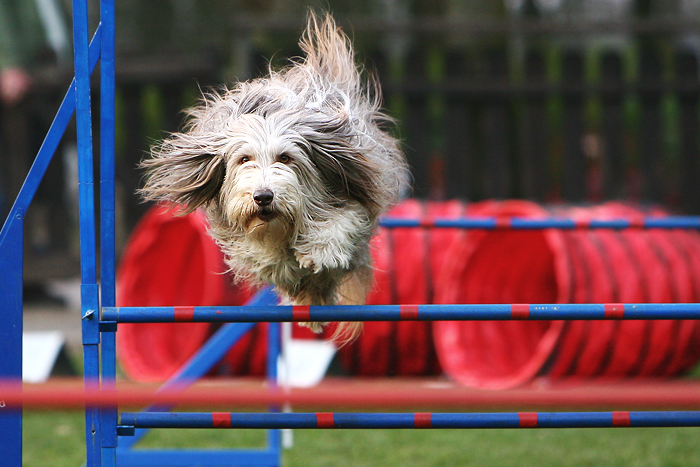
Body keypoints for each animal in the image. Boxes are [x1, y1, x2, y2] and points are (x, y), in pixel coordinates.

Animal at [139, 11, 408, 340]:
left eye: (286, 158)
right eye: (244, 159)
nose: (263, 196)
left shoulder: (354, 198)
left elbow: (339, 226)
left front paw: (318, 251)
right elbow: (267, 258)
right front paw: (283, 262)